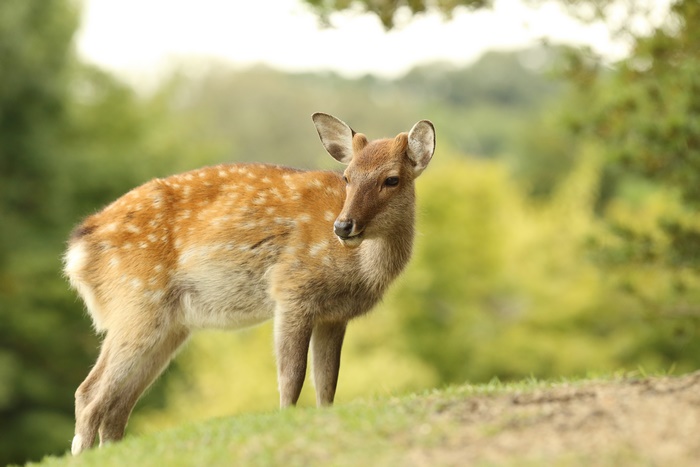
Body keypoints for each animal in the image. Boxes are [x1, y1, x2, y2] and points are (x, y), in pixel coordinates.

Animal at [63, 113, 435, 455]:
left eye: (392, 179)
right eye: (347, 177)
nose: (343, 226)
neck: (357, 270)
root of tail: (77, 252)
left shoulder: (334, 315)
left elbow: (328, 381)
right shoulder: (291, 289)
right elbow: (292, 375)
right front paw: (286, 419)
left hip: (167, 323)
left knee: (117, 405)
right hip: (137, 300)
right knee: (89, 393)